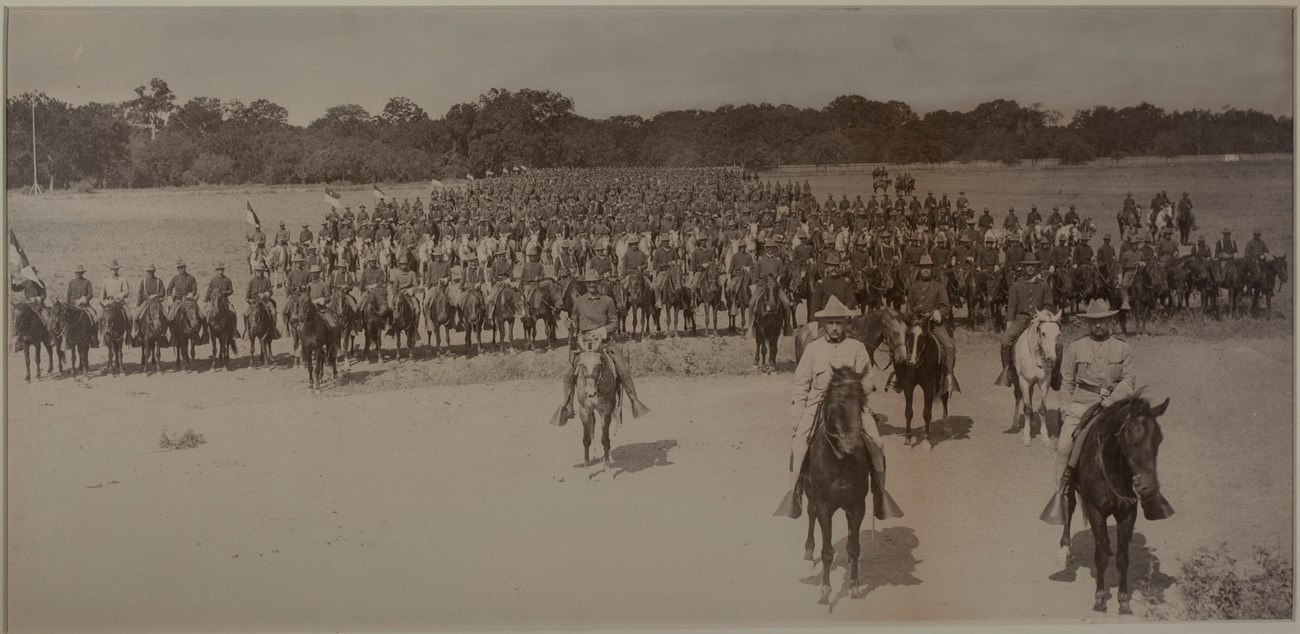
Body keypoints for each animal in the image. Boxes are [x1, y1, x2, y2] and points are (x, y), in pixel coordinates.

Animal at [795, 363, 878, 602]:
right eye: (839, 402)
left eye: (862, 401)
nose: (853, 444)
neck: (839, 460)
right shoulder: (824, 506)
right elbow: (827, 551)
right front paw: (825, 590)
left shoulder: (858, 505)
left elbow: (855, 546)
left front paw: (855, 585)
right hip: (811, 494)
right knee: (811, 513)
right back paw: (808, 550)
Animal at [1008, 307, 1060, 449]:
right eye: (1043, 333)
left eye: (1058, 334)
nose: (1051, 360)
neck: (1036, 355)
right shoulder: (1024, 381)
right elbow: (1026, 408)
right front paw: (1027, 436)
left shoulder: (1044, 381)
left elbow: (1042, 409)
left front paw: (1045, 437)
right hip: (1017, 380)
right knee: (1018, 396)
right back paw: (1015, 423)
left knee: (1030, 395)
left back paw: (1032, 421)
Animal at [1050, 394, 1175, 613]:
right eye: (1130, 440)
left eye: (1159, 439)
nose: (1148, 488)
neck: (1111, 468)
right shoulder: (1095, 512)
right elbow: (1099, 558)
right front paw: (1100, 599)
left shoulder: (1127, 513)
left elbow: (1122, 558)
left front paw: (1124, 601)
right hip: (1070, 483)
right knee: (1069, 507)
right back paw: (1065, 547)